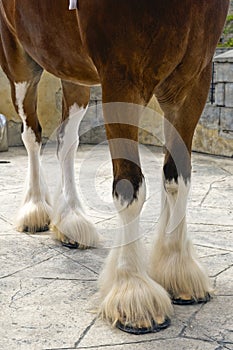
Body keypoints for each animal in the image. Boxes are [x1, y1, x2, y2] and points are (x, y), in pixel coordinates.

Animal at [0, 0, 229, 334]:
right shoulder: (122, 79)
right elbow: (130, 188)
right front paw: (134, 293)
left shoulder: (192, 81)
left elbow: (178, 179)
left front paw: (178, 269)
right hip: (20, 65)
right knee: (32, 137)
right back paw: (35, 210)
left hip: (72, 70)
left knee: (66, 142)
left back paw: (71, 221)